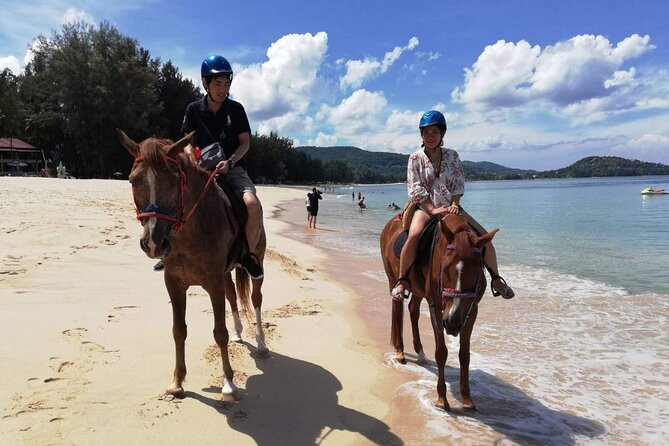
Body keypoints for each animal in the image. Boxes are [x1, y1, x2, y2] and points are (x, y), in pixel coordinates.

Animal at [118, 129, 268, 400]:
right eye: (133, 181)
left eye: (173, 180)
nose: (153, 243)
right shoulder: (174, 283)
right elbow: (179, 330)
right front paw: (177, 381)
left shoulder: (213, 283)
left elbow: (219, 333)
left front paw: (228, 384)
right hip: (226, 273)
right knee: (233, 296)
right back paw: (239, 332)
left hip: (256, 263)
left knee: (256, 299)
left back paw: (261, 343)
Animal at [380, 213, 496, 412]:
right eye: (445, 266)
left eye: (477, 269)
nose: (452, 323)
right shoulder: (436, 306)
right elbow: (441, 352)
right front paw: (442, 399)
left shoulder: (472, 310)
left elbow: (465, 355)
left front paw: (467, 399)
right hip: (393, 279)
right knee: (398, 310)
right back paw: (400, 352)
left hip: (418, 289)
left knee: (413, 310)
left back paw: (420, 353)